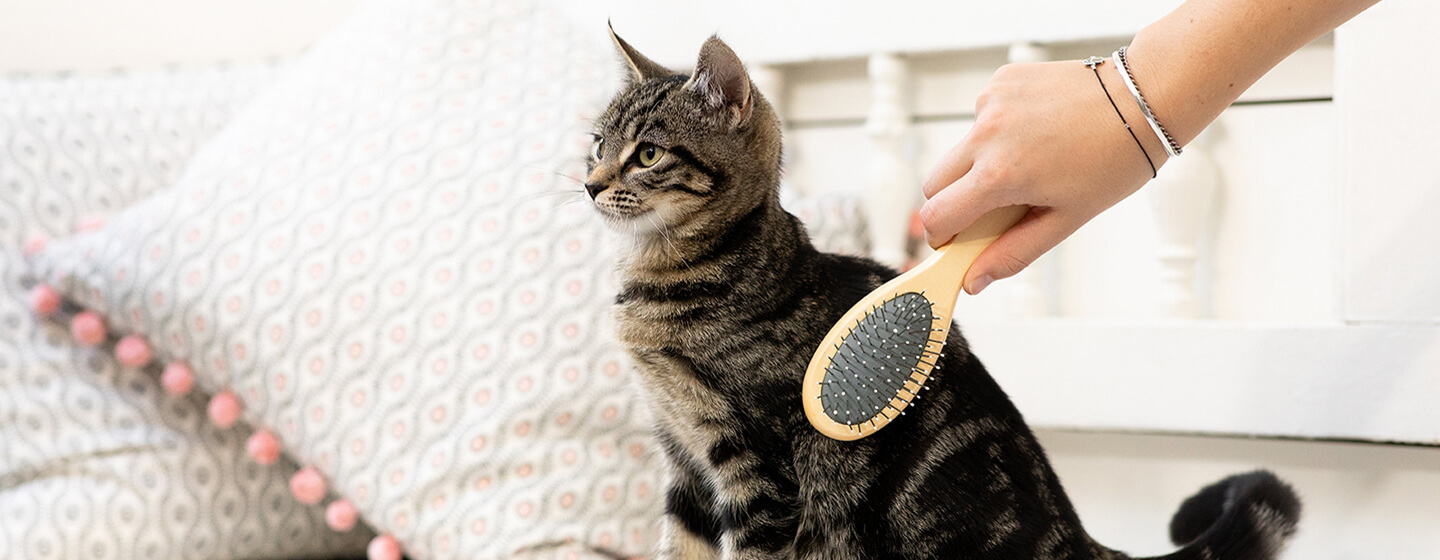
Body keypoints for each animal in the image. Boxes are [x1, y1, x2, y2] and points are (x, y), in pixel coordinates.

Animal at [584, 31, 1307, 558]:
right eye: (596, 143)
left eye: (647, 154)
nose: (589, 184)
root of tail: (1084, 543)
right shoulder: (685, 465)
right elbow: (679, 548)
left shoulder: (757, 472)